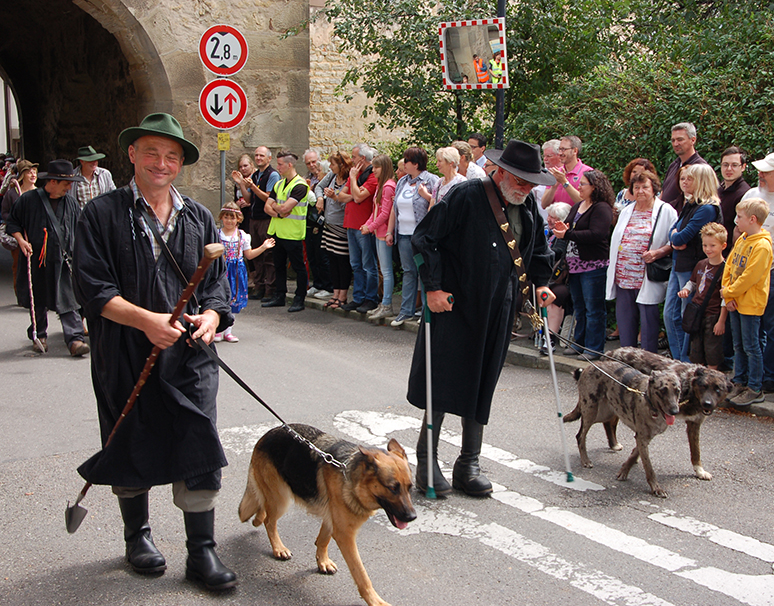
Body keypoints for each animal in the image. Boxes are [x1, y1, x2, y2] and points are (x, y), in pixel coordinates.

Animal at [239, 426, 418, 606]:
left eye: (410, 487)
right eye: (393, 488)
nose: (412, 517)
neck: (352, 478)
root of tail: (268, 434)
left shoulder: (332, 520)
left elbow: (323, 540)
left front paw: (322, 562)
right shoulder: (345, 535)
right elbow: (361, 574)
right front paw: (375, 601)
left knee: (263, 508)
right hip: (281, 500)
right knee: (269, 521)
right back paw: (278, 548)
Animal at [564, 360, 684, 498]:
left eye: (677, 391)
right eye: (663, 390)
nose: (675, 411)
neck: (650, 402)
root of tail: (590, 366)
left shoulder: (643, 438)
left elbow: (635, 454)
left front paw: (624, 470)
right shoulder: (642, 438)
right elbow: (649, 467)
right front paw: (656, 488)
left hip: (606, 412)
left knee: (604, 424)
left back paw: (613, 445)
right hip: (591, 411)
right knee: (580, 436)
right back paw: (585, 460)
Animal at [608, 350, 732, 482]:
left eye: (718, 389)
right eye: (703, 386)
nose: (707, 404)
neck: (689, 389)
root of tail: (613, 351)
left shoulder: (694, 423)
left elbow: (696, 451)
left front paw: (699, 470)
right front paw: (627, 467)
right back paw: (614, 444)